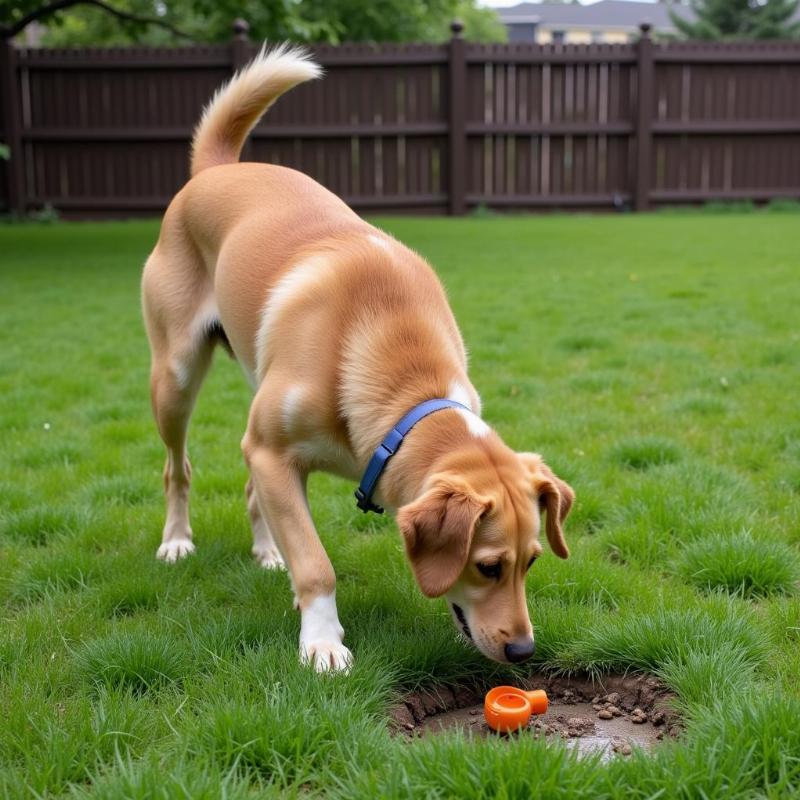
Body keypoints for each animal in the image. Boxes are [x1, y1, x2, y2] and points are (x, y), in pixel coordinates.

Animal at [141, 47, 572, 672]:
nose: (523, 650)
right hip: (174, 379)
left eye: (533, 561)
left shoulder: (269, 454)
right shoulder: (273, 453)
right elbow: (316, 563)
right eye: (488, 566)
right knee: (178, 467)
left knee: (249, 490)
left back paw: (267, 552)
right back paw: (177, 540)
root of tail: (216, 169)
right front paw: (322, 641)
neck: (404, 383)